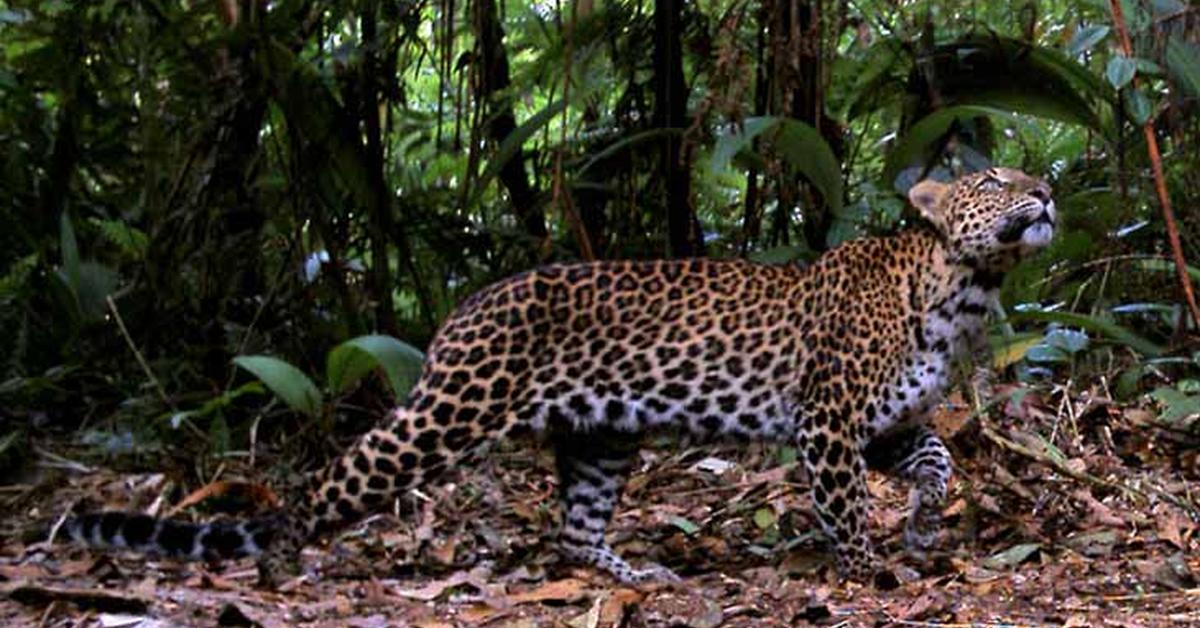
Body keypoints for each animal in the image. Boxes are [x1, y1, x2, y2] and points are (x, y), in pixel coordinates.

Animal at [65, 168, 1056, 590]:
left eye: (1031, 174)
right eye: (996, 179)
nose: (1047, 191)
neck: (964, 289)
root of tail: (464, 308)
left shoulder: (878, 426)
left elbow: (935, 462)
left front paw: (923, 523)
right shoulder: (828, 421)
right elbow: (845, 506)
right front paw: (863, 573)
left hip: (600, 434)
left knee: (574, 530)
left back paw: (636, 576)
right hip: (446, 414)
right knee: (331, 483)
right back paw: (272, 555)